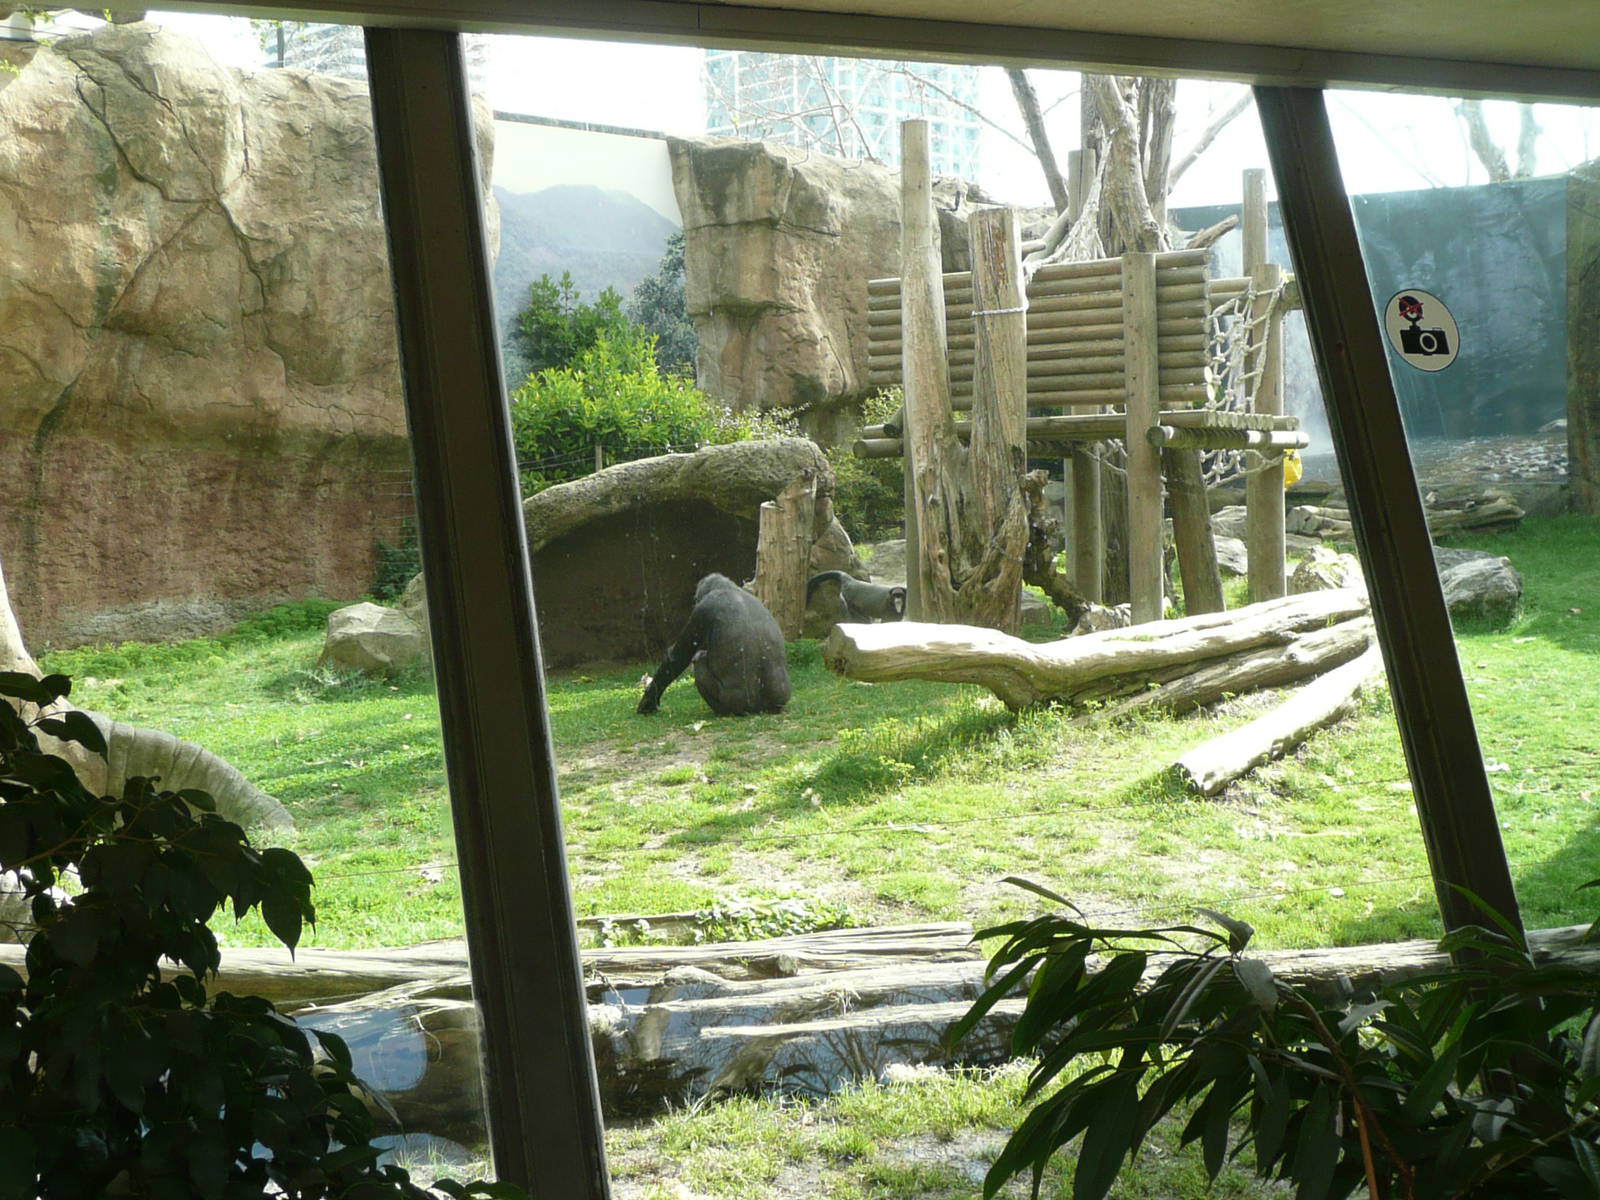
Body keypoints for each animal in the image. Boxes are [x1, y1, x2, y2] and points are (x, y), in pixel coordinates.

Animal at [636, 573, 792, 717]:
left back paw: (719, 712)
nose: (695, 601)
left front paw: (648, 700)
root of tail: (759, 711)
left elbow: (678, 658)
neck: (730, 589)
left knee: (698, 660)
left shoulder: (702, 610)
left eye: (697, 599)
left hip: (735, 706)